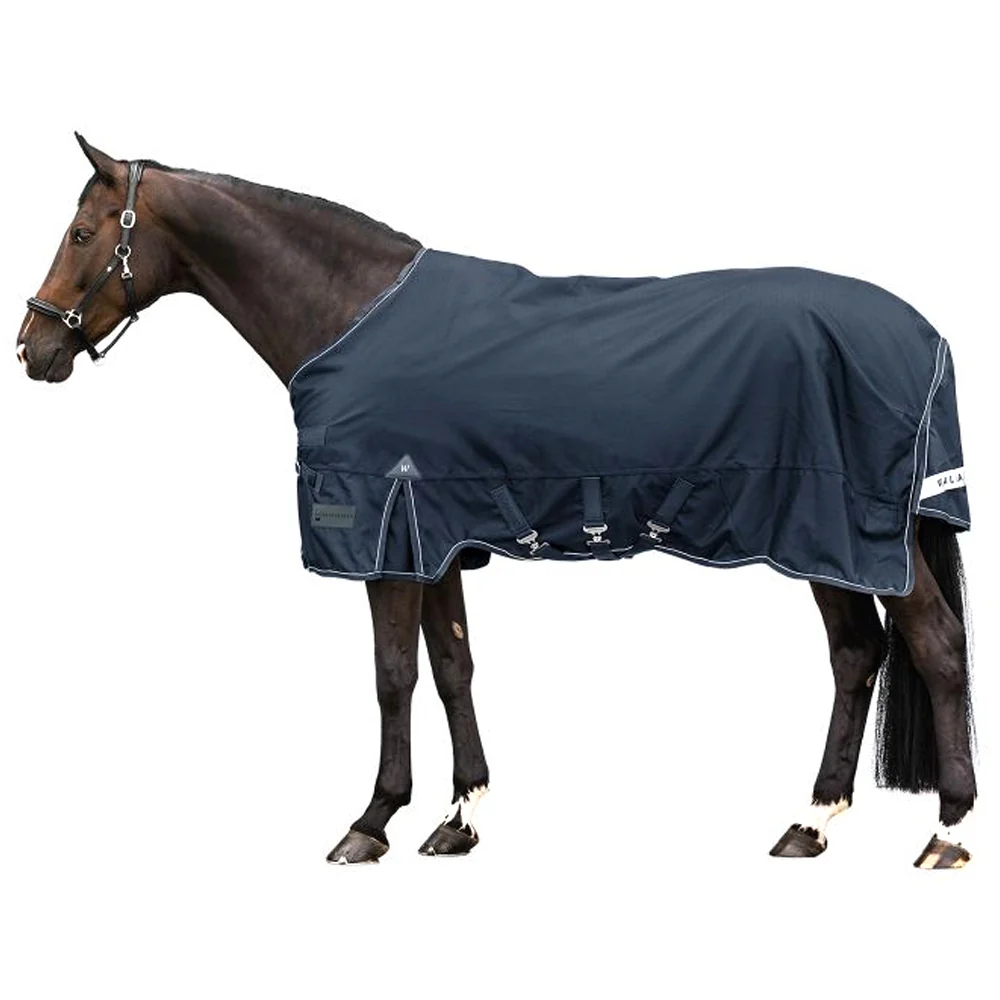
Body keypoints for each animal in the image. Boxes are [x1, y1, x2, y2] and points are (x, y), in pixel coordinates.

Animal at [17, 134, 977, 869]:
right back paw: (810, 823)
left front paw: (371, 822)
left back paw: (947, 832)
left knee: (933, 645)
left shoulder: (386, 539)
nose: (31, 348)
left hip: (856, 535)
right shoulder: (433, 535)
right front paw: (459, 818)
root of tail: (925, 336)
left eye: (81, 232)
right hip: (824, 544)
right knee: (856, 656)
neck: (349, 313)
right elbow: (452, 668)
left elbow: (392, 677)